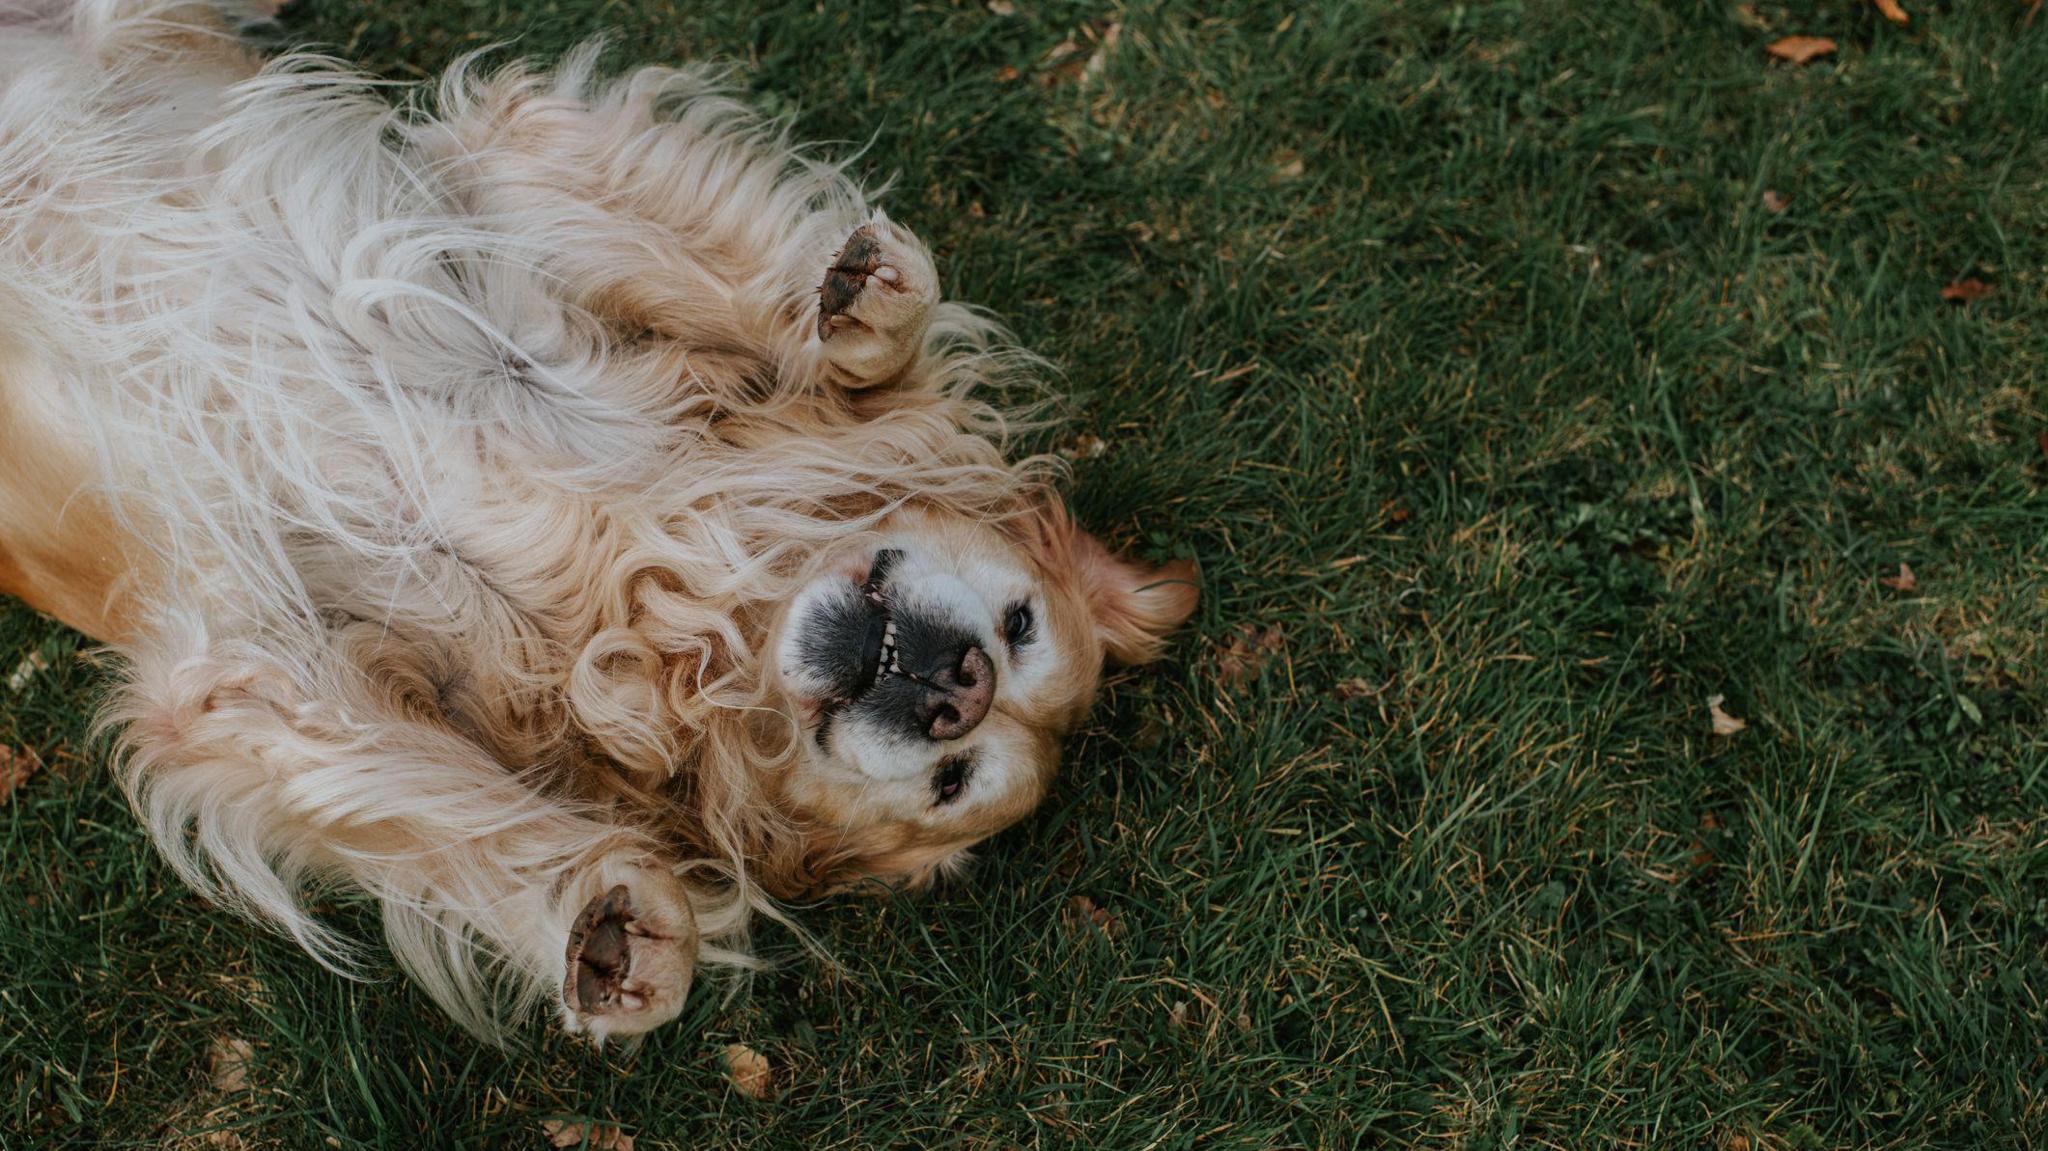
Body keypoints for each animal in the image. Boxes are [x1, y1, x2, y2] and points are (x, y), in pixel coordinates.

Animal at [0, 0, 1196, 1040]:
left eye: (958, 782)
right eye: (1021, 623)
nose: (958, 685)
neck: (641, 556)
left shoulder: (244, 674)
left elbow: (422, 797)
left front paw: (605, 911)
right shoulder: (506, 168)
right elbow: (797, 319)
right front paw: (857, 305)